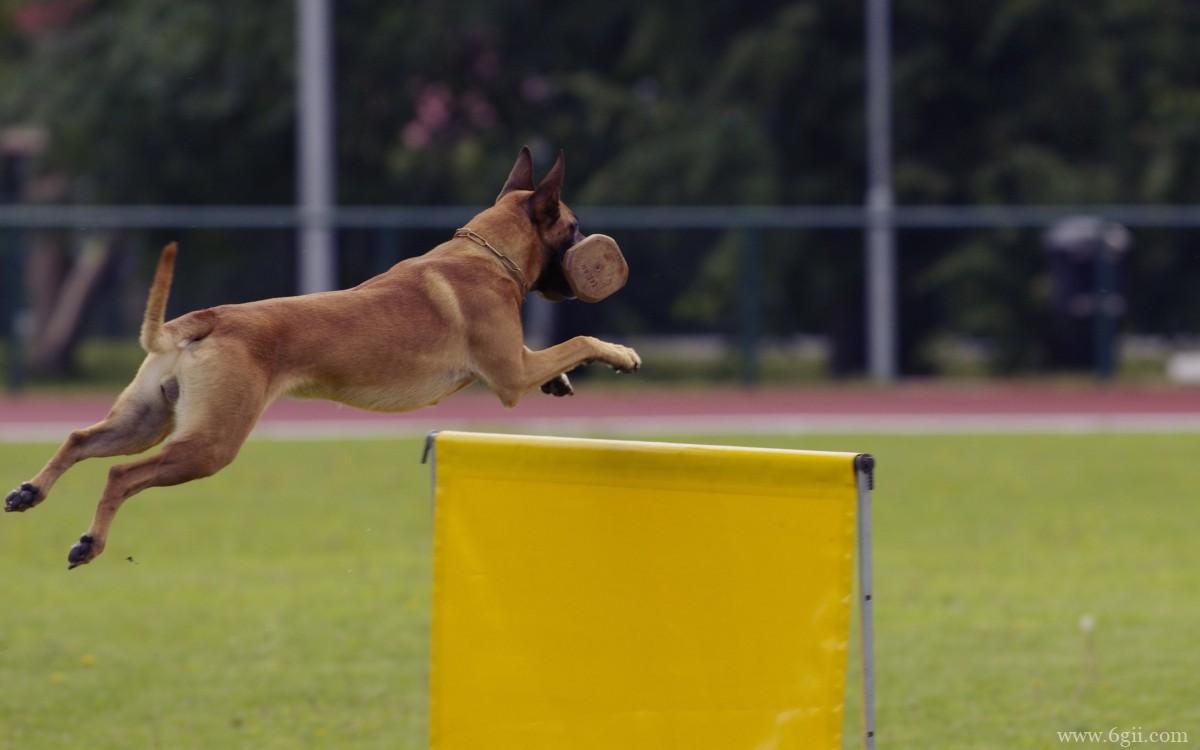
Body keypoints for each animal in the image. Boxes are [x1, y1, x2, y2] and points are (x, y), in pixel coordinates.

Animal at [4, 146, 643, 566]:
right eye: (573, 226)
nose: (596, 253)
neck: (486, 254)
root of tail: (204, 319)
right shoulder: (510, 375)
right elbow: (577, 343)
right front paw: (620, 353)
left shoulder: (517, 363)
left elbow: (559, 356)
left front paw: (562, 384)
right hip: (209, 445)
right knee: (120, 473)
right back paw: (90, 542)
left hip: (145, 420)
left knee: (79, 439)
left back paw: (30, 491)